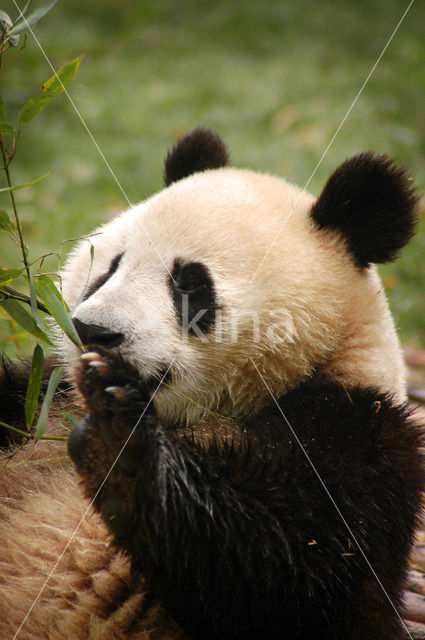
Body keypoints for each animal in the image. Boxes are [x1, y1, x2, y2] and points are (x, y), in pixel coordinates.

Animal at [0, 126, 420, 640]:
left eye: (189, 283)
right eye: (110, 266)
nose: (92, 330)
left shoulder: (359, 438)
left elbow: (269, 560)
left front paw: (119, 441)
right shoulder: (46, 394)